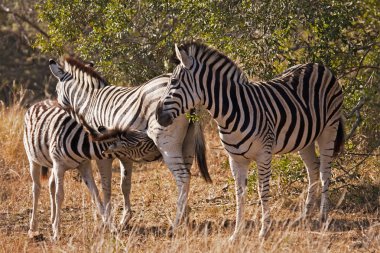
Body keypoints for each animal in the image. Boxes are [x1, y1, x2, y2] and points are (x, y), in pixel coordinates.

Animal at [23, 99, 158, 239]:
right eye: (139, 144)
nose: (159, 151)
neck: (82, 145)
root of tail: (41, 102)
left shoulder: (84, 165)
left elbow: (96, 193)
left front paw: (110, 226)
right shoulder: (59, 165)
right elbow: (59, 195)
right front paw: (56, 232)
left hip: (53, 165)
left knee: (51, 184)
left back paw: (52, 218)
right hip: (33, 160)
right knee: (36, 189)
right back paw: (33, 227)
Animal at [47, 56, 212, 230]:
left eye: (56, 90)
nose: (56, 105)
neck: (90, 100)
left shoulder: (102, 153)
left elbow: (106, 186)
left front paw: (108, 221)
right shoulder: (124, 154)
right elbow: (124, 185)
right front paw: (125, 219)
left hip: (167, 144)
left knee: (182, 177)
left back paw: (176, 222)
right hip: (187, 144)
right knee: (186, 177)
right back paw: (186, 219)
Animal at [156, 42, 346, 240]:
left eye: (174, 82)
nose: (157, 115)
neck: (231, 113)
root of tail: (318, 65)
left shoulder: (264, 155)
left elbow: (263, 191)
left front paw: (264, 231)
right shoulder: (235, 159)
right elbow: (239, 194)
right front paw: (236, 233)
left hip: (329, 128)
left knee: (325, 172)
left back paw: (323, 216)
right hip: (305, 138)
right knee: (313, 170)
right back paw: (305, 215)